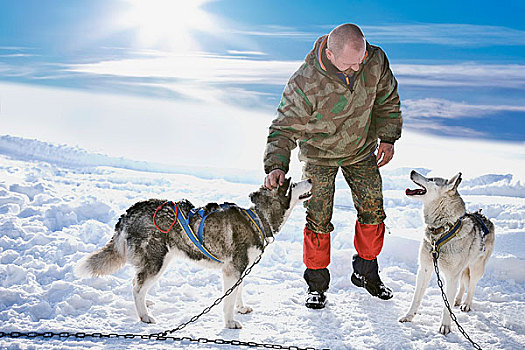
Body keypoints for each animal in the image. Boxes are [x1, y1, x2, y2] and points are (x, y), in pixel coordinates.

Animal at [74, 178, 312, 328]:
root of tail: (128, 213)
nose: (309, 178)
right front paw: (229, 322)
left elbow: (237, 293)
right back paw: (144, 315)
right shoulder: (232, 270)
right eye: (293, 183)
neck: (259, 219)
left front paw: (241, 307)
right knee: (137, 286)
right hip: (157, 261)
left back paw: (146, 303)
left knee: (137, 283)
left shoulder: (241, 269)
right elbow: (228, 301)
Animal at [400, 171, 494, 334]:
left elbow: (446, 305)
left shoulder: (451, 276)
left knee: (472, 286)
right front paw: (409, 316)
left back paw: (466, 304)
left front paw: (445, 326)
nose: (412, 171)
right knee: (463, 284)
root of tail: (483, 217)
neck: (441, 230)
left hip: (475, 268)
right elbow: (416, 298)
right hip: (462, 270)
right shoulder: (424, 269)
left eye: (431, 179)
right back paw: (457, 300)